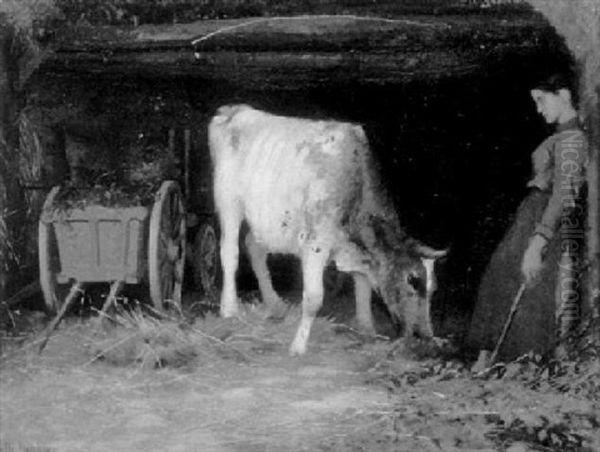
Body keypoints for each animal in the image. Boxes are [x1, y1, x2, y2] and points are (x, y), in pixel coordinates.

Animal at [207, 104, 446, 354]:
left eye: (433, 289)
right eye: (412, 280)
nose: (423, 336)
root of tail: (234, 110)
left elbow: (363, 286)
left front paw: (366, 328)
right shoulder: (315, 245)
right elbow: (314, 298)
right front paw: (298, 347)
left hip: (269, 220)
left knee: (254, 248)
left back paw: (274, 303)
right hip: (229, 202)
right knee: (230, 252)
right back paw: (229, 308)